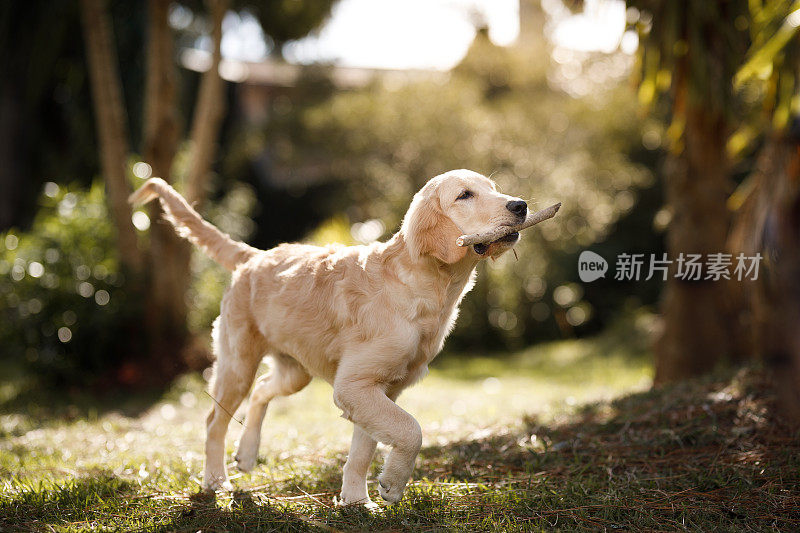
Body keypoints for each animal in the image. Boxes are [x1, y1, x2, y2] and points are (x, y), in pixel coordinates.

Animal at [130, 168, 532, 504]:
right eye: (465, 195)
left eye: (493, 188)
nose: (521, 205)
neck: (422, 286)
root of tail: (254, 256)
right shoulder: (354, 385)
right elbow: (410, 430)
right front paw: (392, 484)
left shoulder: (380, 389)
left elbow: (363, 450)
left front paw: (356, 501)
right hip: (237, 362)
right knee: (215, 421)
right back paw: (216, 480)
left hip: (294, 372)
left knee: (261, 390)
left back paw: (246, 454)